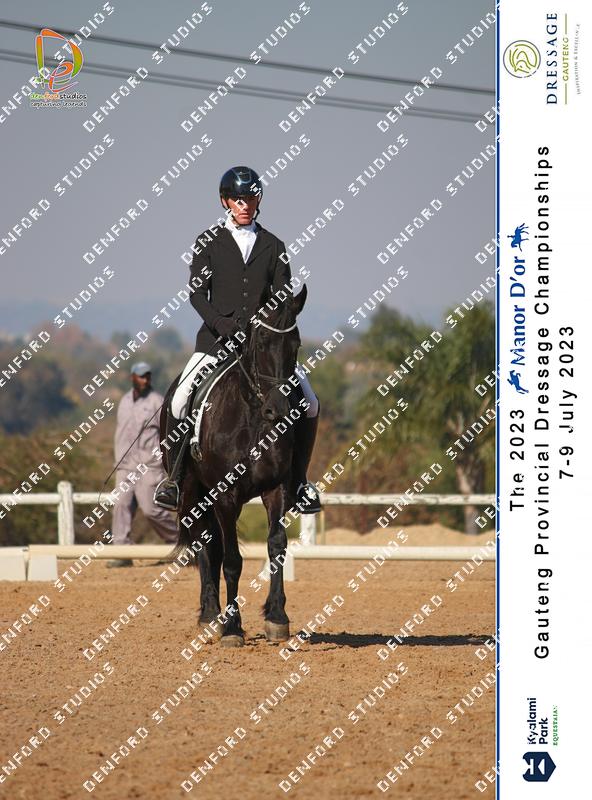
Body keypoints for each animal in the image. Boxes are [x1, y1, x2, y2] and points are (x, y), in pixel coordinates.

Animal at [160, 285, 309, 648]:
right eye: (261, 343)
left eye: (295, 344)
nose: (278, 410)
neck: (253, 416)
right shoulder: (225, 495)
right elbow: (231, 560)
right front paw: (231, 628)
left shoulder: (276, 489)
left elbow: (276, 546)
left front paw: (277, 617)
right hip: (191, 495)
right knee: (205, 546)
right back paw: (211, 616)